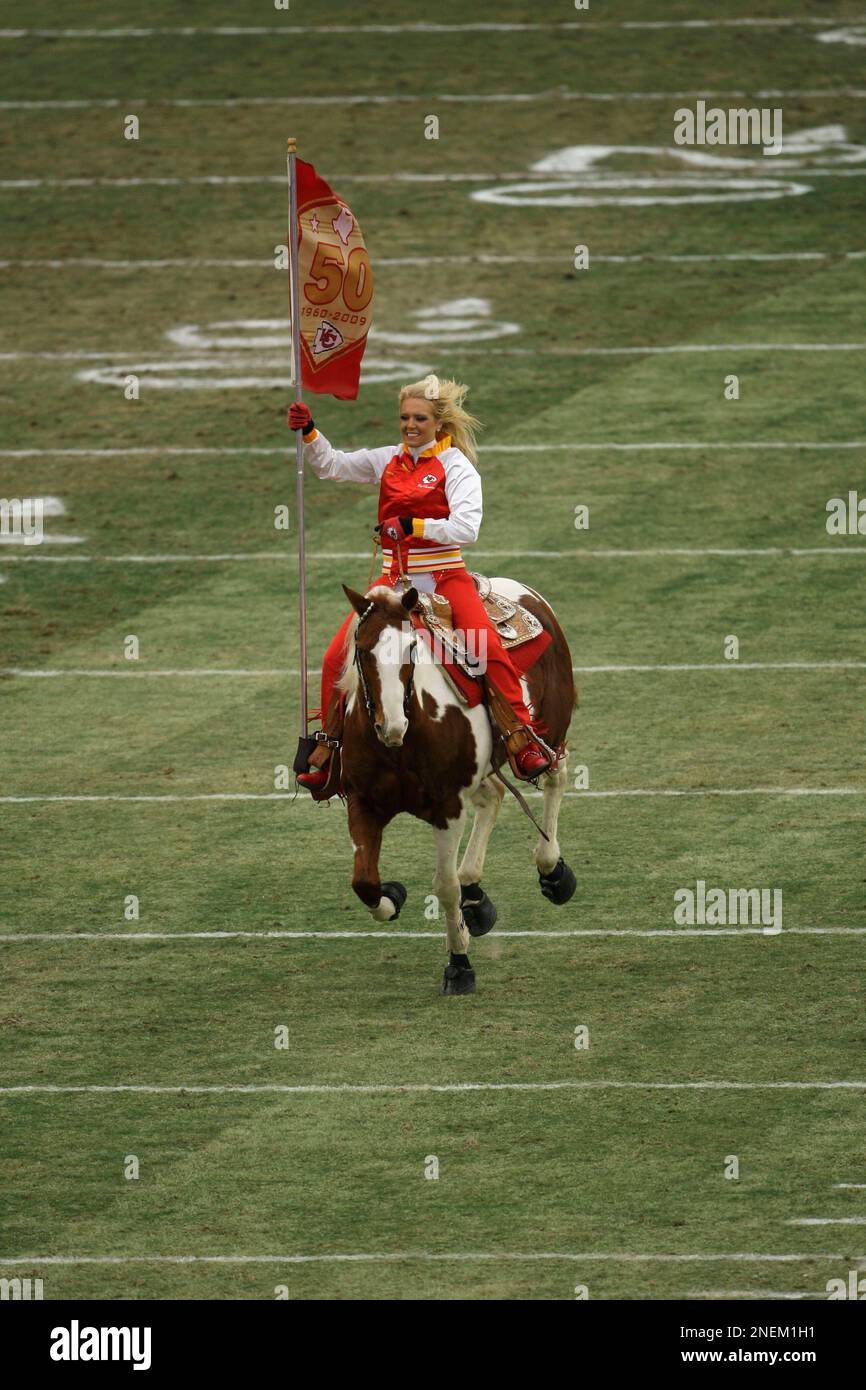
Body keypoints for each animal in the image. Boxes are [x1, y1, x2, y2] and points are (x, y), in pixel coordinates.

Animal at [335, 581, 578, 995]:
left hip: (552, 726)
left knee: (554, 776)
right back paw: (477, 900)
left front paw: (459, 965)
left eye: (411, 647)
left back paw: (552, 871)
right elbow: (364, 883)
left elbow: (445, 887)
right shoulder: (363, 802)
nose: (392, 726)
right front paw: (393, 895)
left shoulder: (447, 807)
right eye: (362, 649)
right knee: (493, 797)